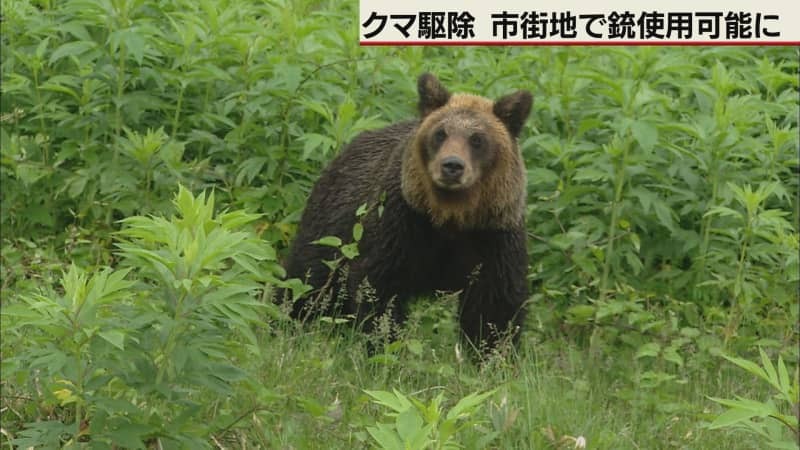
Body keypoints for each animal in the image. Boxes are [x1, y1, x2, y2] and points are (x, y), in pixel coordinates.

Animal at [282, 73, 532, 352]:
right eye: (440, 134)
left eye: (477, 139)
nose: (452, 166)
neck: (450, 217)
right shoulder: (401, 223)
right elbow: (378, 288)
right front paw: (385, 345)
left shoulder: (493, 235)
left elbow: (494, 307)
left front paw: (492, 352)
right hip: (332, 228)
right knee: (306, 280)